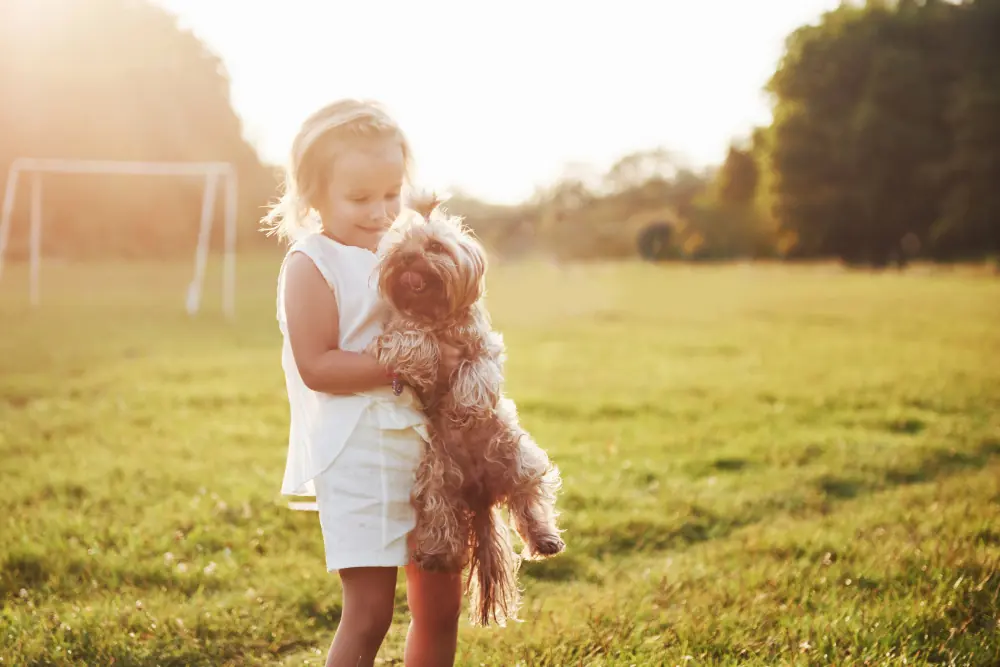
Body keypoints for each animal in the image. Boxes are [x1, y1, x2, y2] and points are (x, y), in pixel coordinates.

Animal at [370, 192, 572, 628]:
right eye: (400, 248)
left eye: (433, 247)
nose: (408, 259)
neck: (436, 315)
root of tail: (480, 493)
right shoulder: (399, 331)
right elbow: (410, 336)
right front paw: (423, 360)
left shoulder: (484, 347)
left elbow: (475, 369)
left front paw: (466, 403)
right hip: (436, 476)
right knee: (440, 517)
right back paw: (435, 553)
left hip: (516, 455)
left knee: (529, 499)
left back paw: (545, 538)